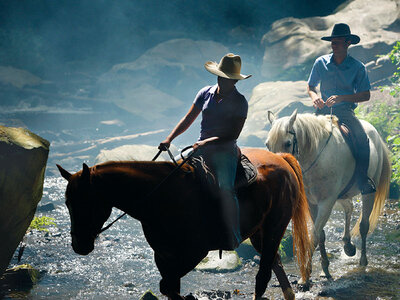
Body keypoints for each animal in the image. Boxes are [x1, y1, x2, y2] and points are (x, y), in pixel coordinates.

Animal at [57, 148, 312, 300]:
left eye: (86, 201)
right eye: (67, 202)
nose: (79, 245)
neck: (162, 195)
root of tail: (281, 159)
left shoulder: (194, 252)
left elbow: (168, 287)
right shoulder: (163, 255)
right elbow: (170, 288)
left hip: (274, 228)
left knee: (263, 275)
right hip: (259, 233)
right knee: (275, 263)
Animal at [266, 110, 390, 284]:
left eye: (288, 143)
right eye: (267, 145)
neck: (316, 157)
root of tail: (376, 135)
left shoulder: (326, 203)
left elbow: (314, 237)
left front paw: (305, 277)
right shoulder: (312, 204)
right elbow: (321, 236)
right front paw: (324, 269)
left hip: (368, 192)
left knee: (364, 225)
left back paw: (363, 261)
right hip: (343, 194)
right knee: (349, 208)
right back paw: (348, 245)